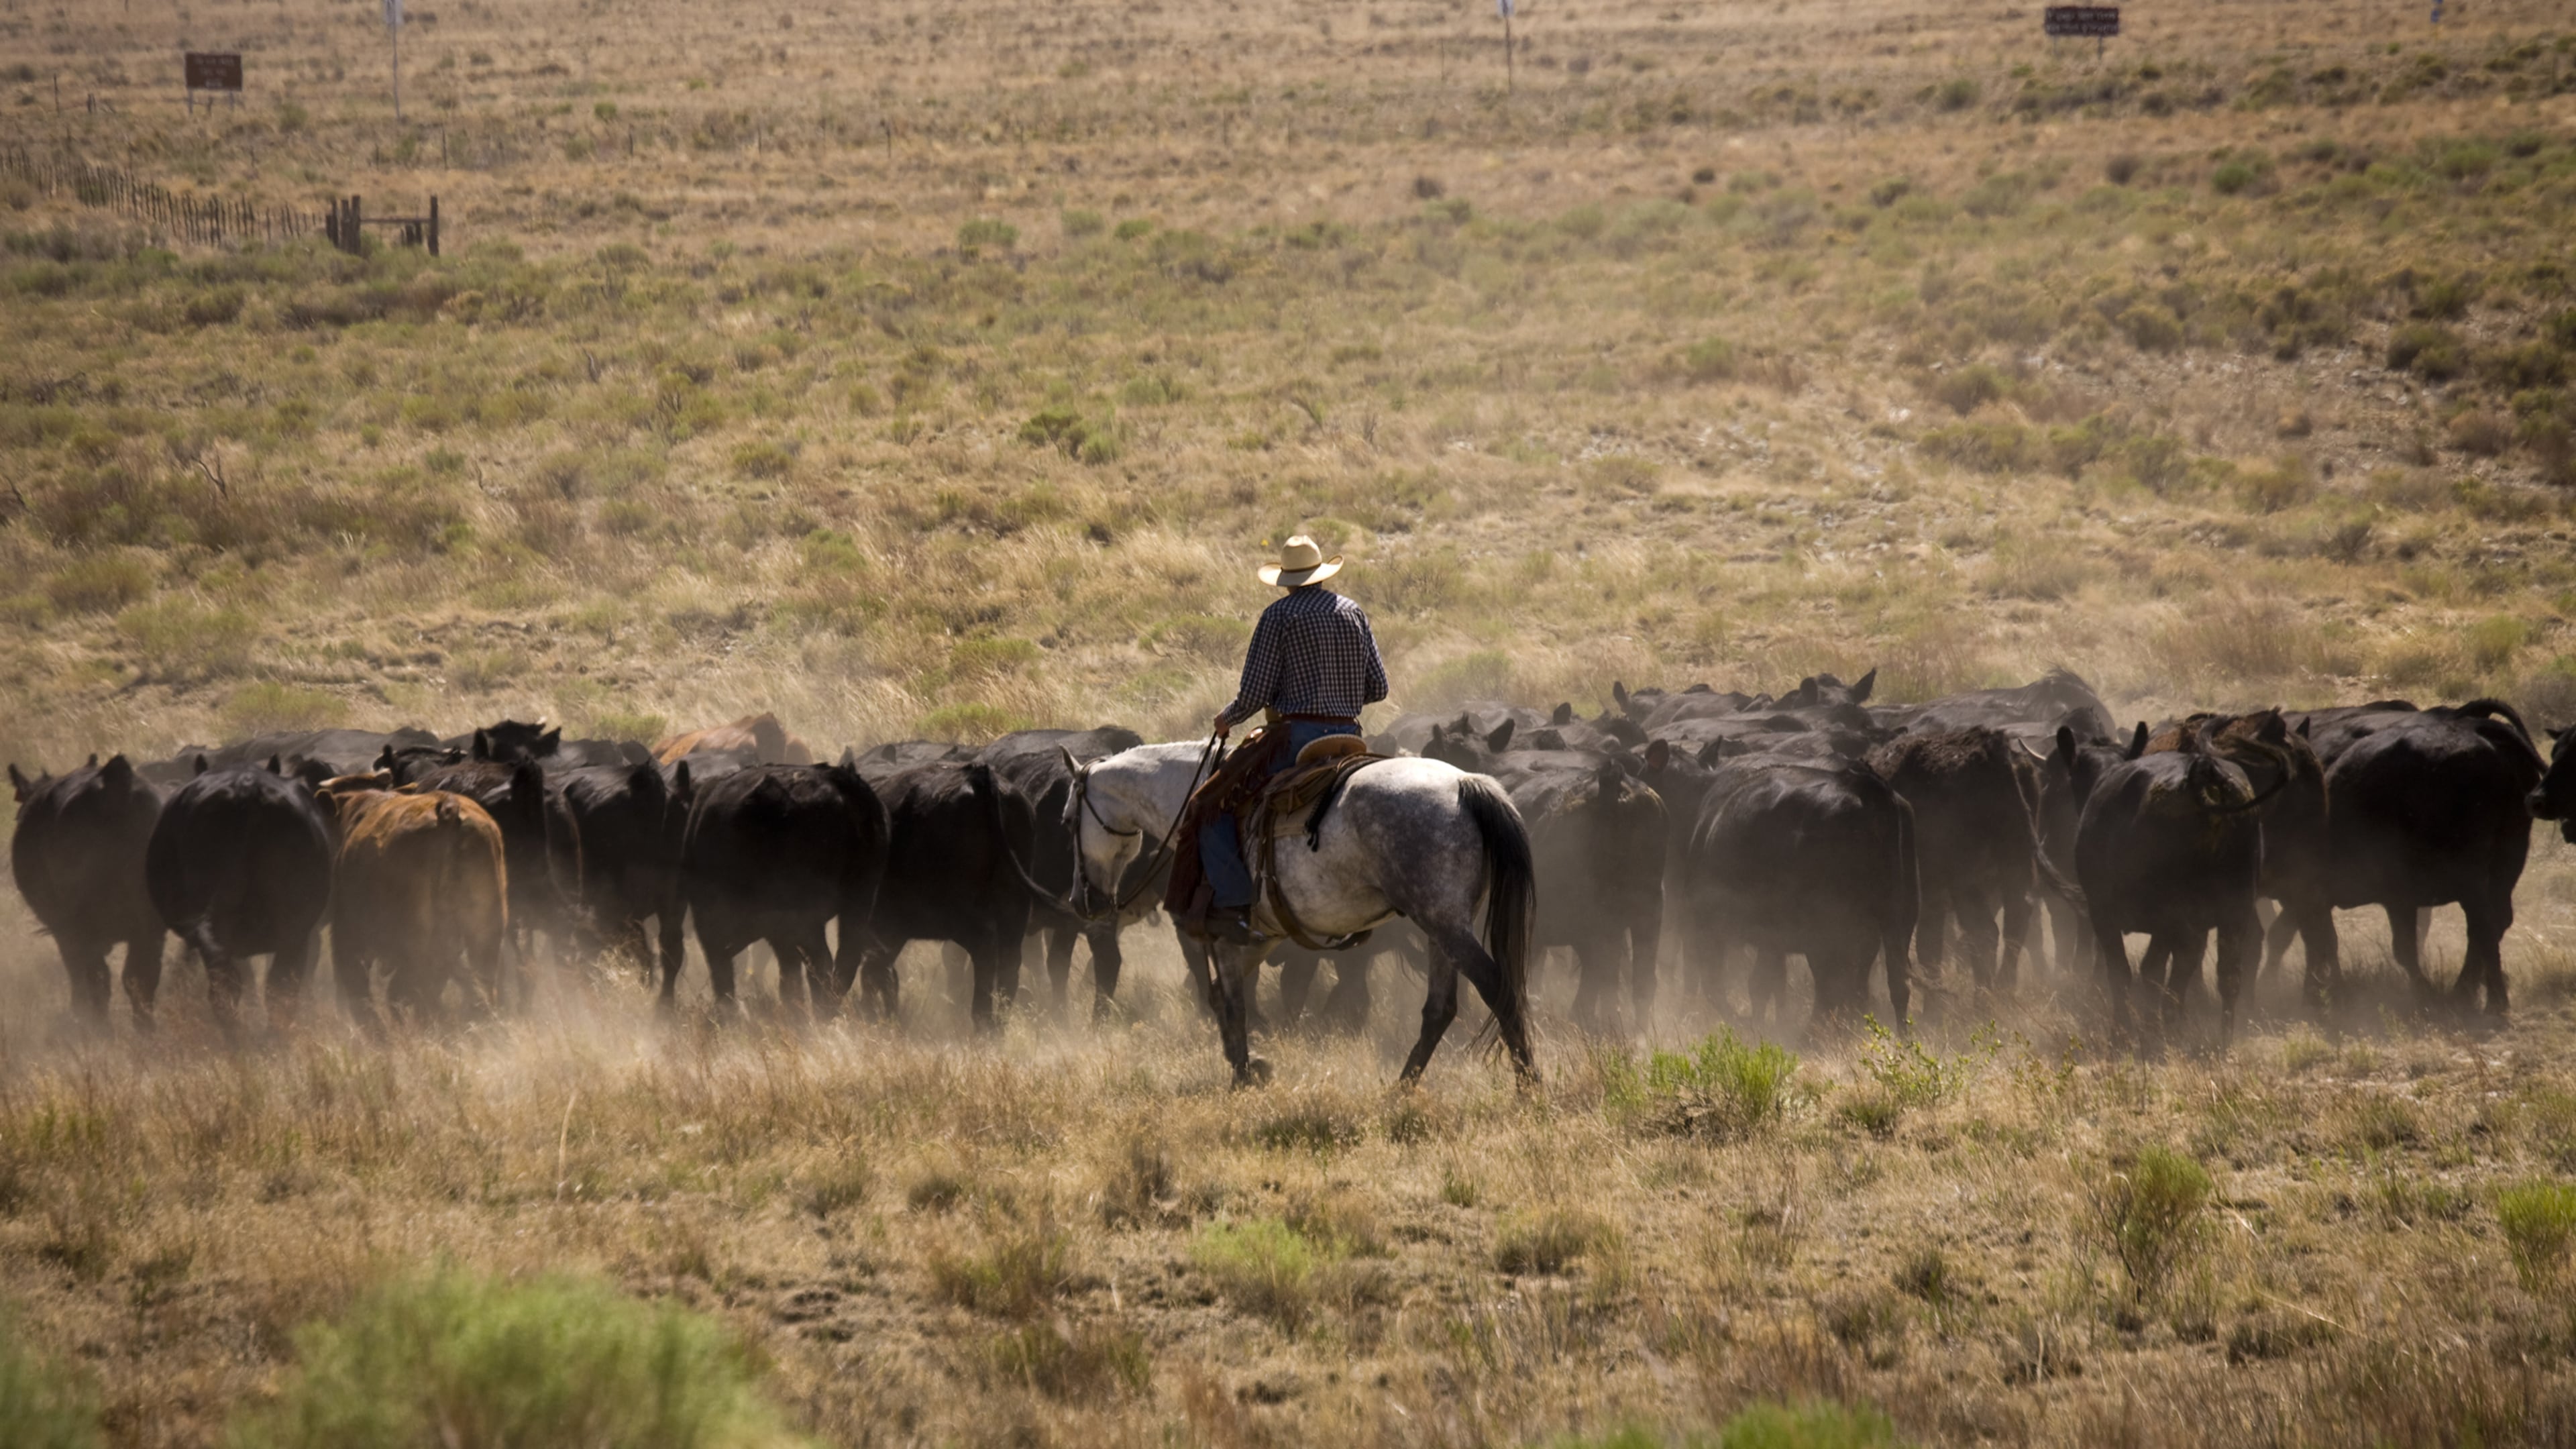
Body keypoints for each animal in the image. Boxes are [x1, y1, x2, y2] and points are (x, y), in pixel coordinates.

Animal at [9, 755, 167, 1029]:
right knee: (141, 975)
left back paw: (99, 1027)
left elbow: (77, 970)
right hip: (150, 922)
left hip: (81, 923)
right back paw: (145, 1029)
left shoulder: (63, 929)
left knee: (98, 976)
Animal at [316, 777, 509, 1028]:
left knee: (415, 994)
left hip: (415, 941)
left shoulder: (347, 938)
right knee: (478, 987)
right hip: (483, 933)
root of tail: (448, 807)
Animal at [675, 762, 887, 1015]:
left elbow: (723, 973)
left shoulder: (709, 919)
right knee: (843, 962)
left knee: (821, 963)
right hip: (857, 903)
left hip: (805, 915)